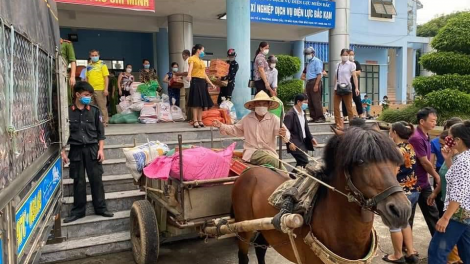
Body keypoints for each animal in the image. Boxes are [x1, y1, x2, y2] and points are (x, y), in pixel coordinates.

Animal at [232, 126, 412, 264]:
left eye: (397, 161)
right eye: (360, 161)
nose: (401, 210)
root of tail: (250, 170)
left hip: (265, 227)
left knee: (260, 249)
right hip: (243, 229)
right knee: (243, 255)